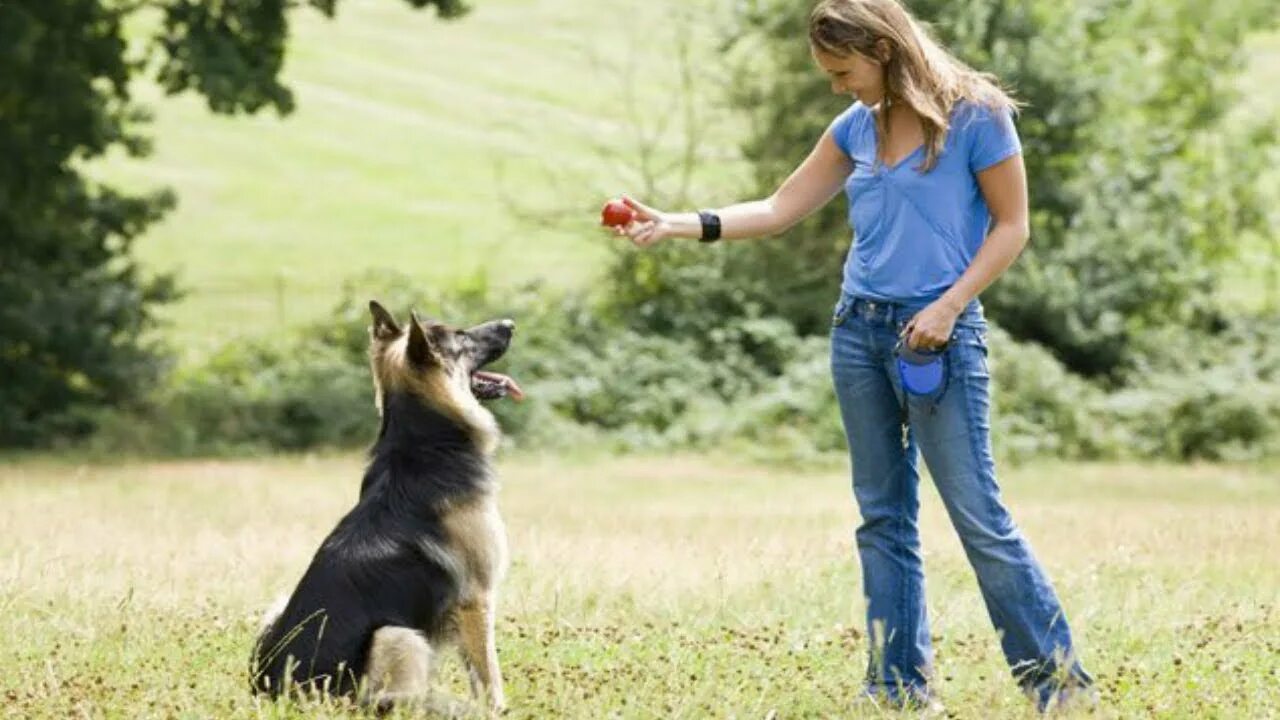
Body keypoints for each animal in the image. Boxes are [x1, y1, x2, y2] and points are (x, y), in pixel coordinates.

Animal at [252, 299, 522, 707]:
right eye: (461, 336)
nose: (510, 323)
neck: (424, 443)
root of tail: (281, 692)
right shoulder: (476, 600)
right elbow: (490, 676)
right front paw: (496, 710)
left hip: (276, 610)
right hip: (398, 635)